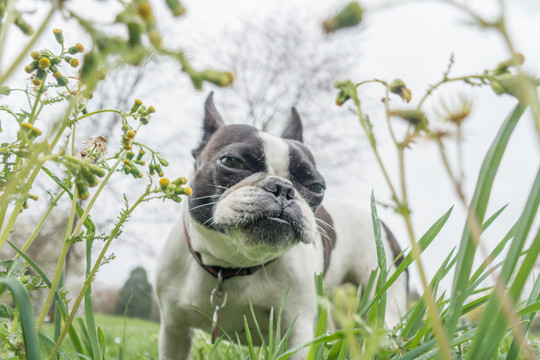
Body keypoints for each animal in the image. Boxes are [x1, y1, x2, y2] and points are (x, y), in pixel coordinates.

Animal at [154, 93, 408, 360]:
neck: (233, 265)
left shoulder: (297, 331)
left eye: (317, 186)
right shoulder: (173, 330)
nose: (283, 188)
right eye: (232, 162)